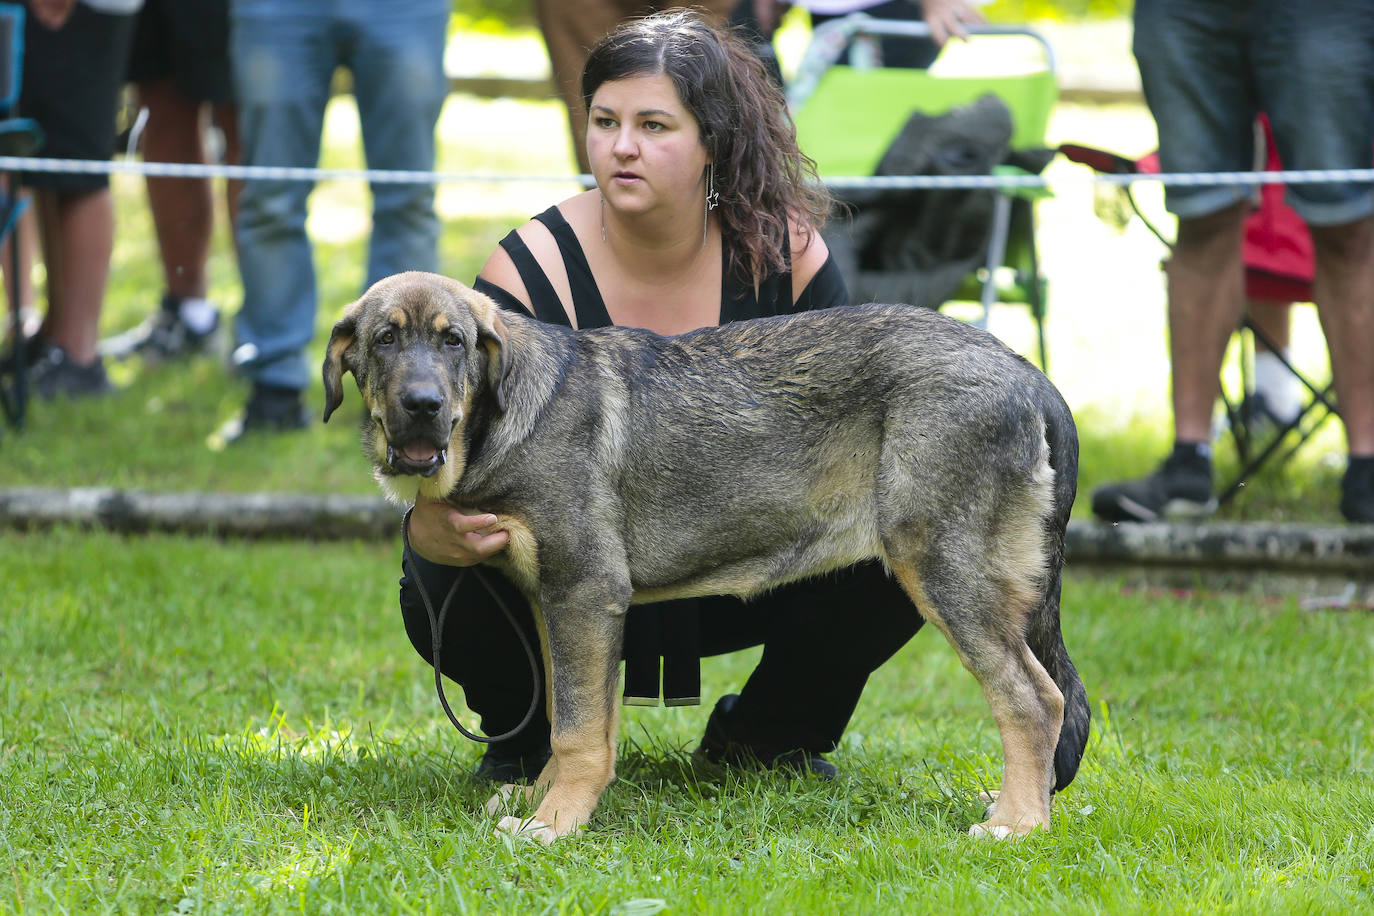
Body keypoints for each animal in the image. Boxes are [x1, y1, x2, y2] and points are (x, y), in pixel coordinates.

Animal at [321, 270, 1082, 845]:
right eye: (385, 339)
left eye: (452, 342)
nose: (422, 405)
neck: (500, 421)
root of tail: (1029, 374)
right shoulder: (557, 602)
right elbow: (580, 718)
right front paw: (546, 800)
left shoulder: (583, 590)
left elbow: (574, 729)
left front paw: (554, 825)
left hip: (941, 564)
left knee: (1033, 699)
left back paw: (1016, 825)